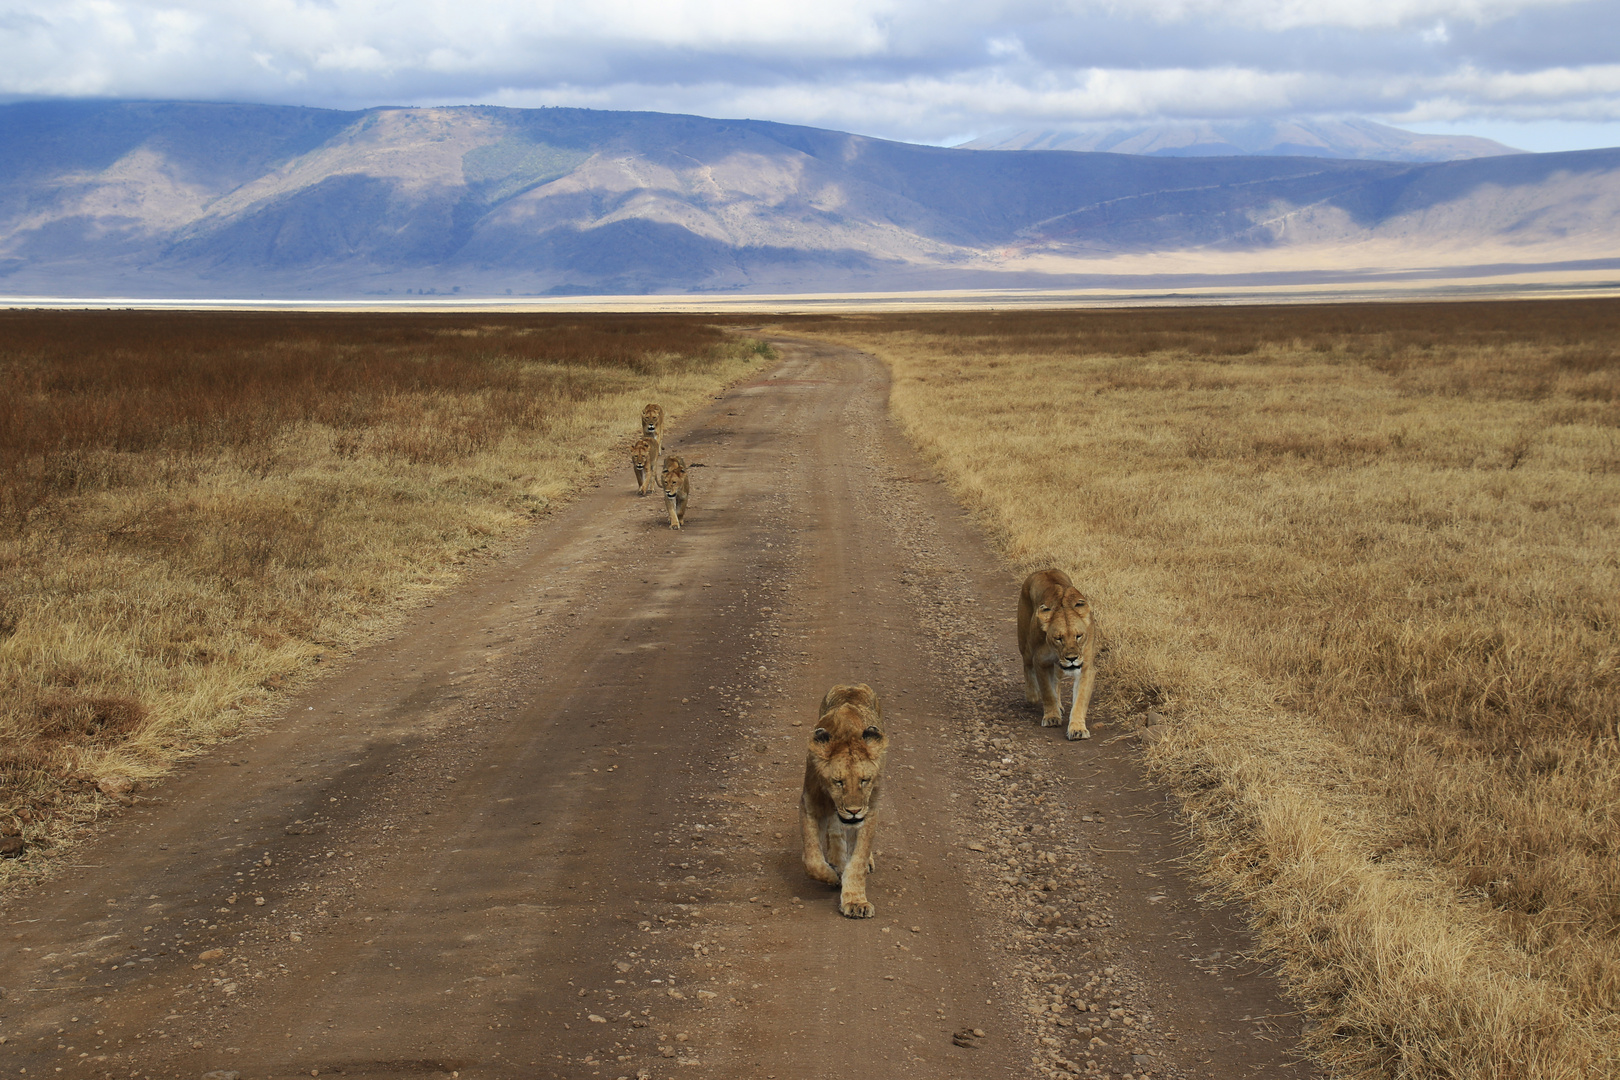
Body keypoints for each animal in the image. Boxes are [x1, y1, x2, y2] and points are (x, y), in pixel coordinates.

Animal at [797, 689, 887, 919]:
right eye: (838, 782)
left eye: (864, 780)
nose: (853, 811)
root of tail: (851, 687)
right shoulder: (811, 802)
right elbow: (812, 860)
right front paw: (833, 875)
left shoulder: (870, 810)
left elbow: (858, 860)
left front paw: (856, 902)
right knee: (835, 831)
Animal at [1010, 569, 1101, 738]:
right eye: (1058, 638)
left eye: (1079, 636)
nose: (1072, 659)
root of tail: (1044, 570)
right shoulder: (1040, 661)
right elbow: (1047, 692)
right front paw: (1052, 717)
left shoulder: (1086, 668)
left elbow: (1080, 700)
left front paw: (1077, 728)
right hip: (1025, 644)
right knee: (1027, 664)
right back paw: (1032, 695)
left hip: (1058, 666)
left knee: (1057, 681)